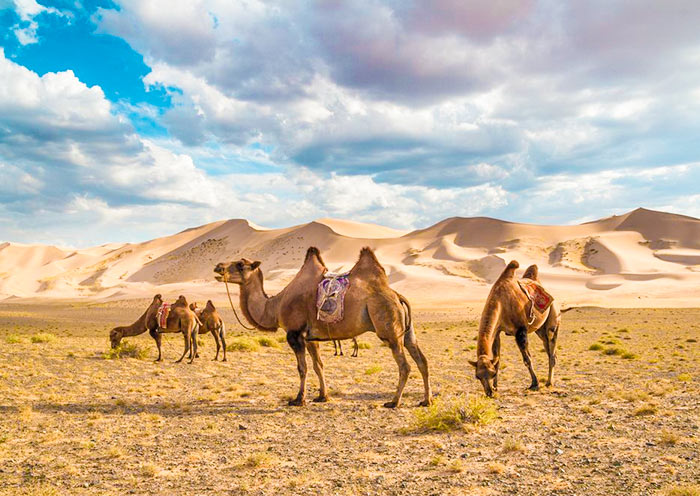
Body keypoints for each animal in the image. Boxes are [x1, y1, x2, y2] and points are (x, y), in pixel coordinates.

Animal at [214, 247, 431, 408]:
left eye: (240, 264)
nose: (217, 267)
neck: (275, 305)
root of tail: (397, 295)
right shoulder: (311, 337)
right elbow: (319, 365)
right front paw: (322, 396)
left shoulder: (294, 334)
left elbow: (302, 368)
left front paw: (298, 399)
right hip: (407, 332)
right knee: (422, 360)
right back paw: (426, 401)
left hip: (389, 329)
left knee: (405, 365)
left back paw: (394, 402)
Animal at [469, 261, 560, 397]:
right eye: (477, 376)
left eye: (491, 374)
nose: (489, 392)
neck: (501, 303)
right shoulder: (497, 331)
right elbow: (497, 359)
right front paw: (496, 387)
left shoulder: (520, 330)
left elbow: (527, 359)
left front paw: (535, 384)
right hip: (540, 330)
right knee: (548, 349)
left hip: (553, 318)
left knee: (552, 347)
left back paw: (549, 383)